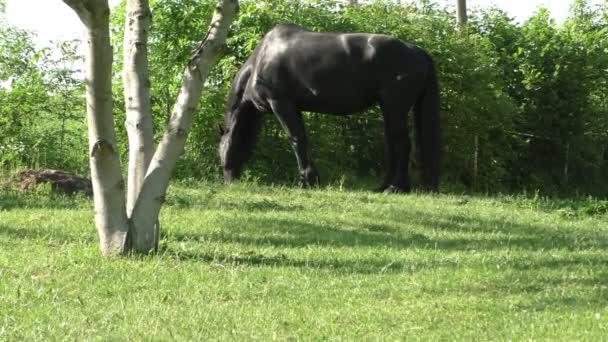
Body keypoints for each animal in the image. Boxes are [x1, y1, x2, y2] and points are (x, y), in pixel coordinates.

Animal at [218, 24, 442, 192]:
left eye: (220, 149)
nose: (229, 180)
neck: (261, 60)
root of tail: (418, 51)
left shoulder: (281, 104)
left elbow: (296, 140)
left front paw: (307, 181)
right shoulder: (292, 108)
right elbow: (302, 139)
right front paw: (311, 178)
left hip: (395, 108)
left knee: (402, 144)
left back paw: (397, 188)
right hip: (389, 110)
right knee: (392, 145)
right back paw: (383, 186)